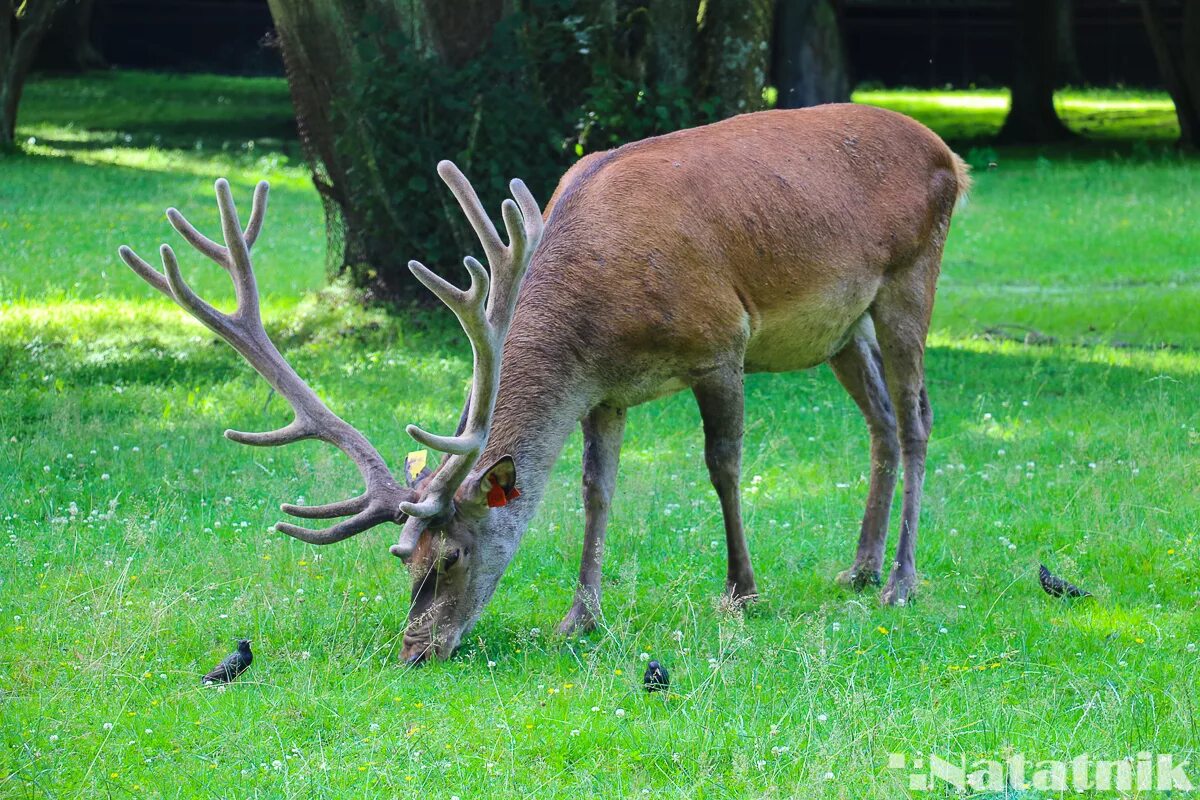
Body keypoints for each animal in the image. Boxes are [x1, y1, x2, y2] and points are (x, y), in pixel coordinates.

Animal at [119, 101, 964, 662]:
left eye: (451, 558)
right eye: (401, 561)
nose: (415, 648)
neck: (597, 307)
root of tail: (949, 155)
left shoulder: (721, 342)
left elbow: (723, 467)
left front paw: (741, 592)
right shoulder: (606, 391)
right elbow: (596, 490)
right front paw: (580, 615)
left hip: (910, 275)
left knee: (919, 417)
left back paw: (901, 581)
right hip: (843, 327)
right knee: (882, 423)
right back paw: (859, 567)